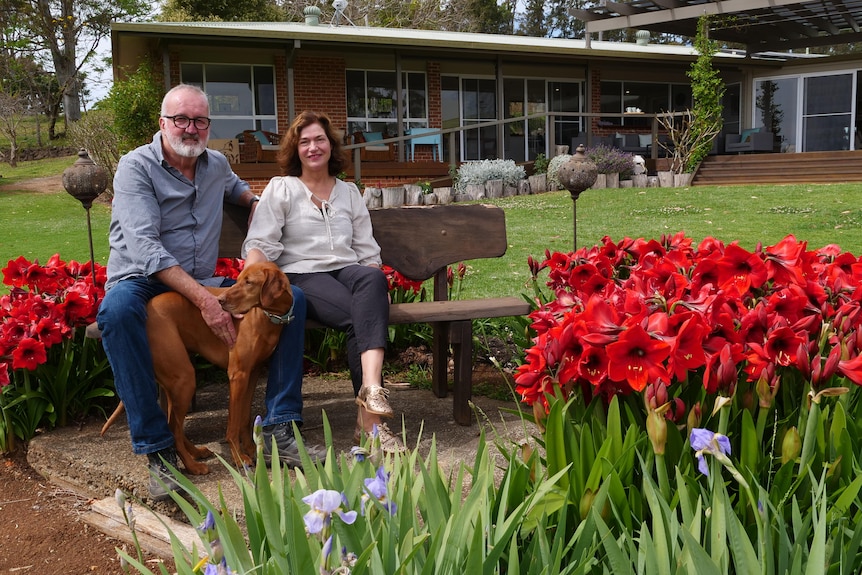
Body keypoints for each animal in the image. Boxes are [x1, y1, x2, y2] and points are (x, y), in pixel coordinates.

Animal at [101, 264, 294, 474]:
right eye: (239, 279)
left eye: (249, 282)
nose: (220, 301)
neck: (268, 317)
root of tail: (145, 310)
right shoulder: (237, 375)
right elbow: (233, 424)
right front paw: (238, 457)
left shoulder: (252, 373)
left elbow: (245, 417)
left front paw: (252, 450)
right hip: (185, 379)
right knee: (174, 429)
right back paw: (191, 466)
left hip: (174, 382)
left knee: (174, 426)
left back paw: (195, 452)